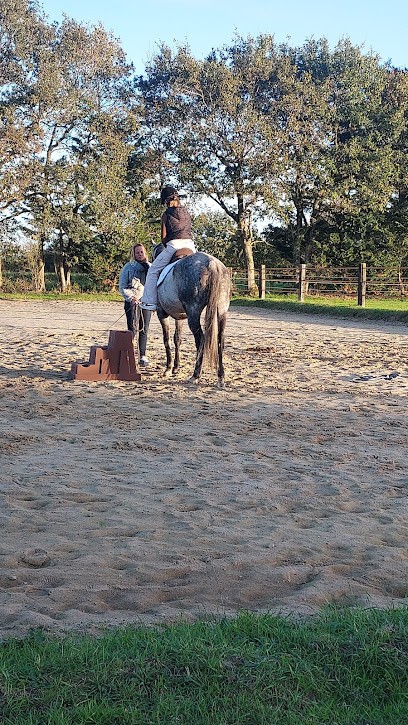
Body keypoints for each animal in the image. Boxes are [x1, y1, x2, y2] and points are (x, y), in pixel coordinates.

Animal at [153, 248, 230, 387]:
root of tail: (212, 263)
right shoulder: (179, 317)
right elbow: (177, 339)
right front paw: (176, 367)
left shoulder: (161, 314)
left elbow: (166, 340)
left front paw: (168, 368)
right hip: (221, 311)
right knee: (220, 340)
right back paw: (221, 377)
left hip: (193, 314)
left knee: (201, 340)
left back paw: (195, 375)